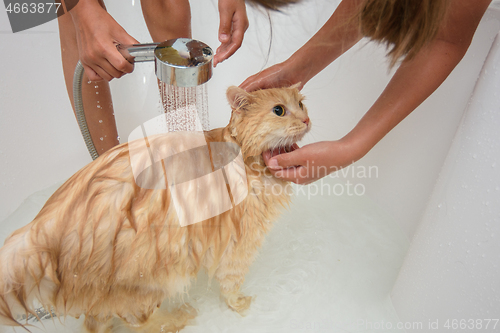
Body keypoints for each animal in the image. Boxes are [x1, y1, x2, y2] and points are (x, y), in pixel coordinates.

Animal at [0, 85, 310, 330]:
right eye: (279, 110)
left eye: (301, 104)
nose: (307, 119)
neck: (242, 155)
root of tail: (39, 229)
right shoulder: (239, 243)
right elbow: (230, 282)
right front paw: (239, 304)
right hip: (150, 278)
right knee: (137, 321)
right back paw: (177, 319)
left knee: (95, 322)